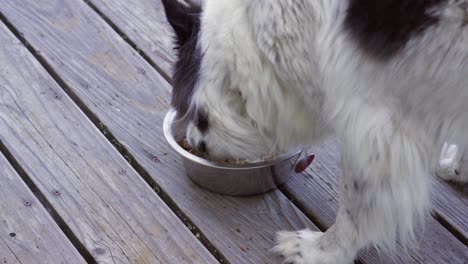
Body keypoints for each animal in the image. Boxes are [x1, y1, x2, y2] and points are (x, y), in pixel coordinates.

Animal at [162, 1, 468, 262]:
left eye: (193, 112)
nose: (194, 143)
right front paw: (458, 169)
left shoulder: (374, 126)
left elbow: (355, 204)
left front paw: (322, 251)